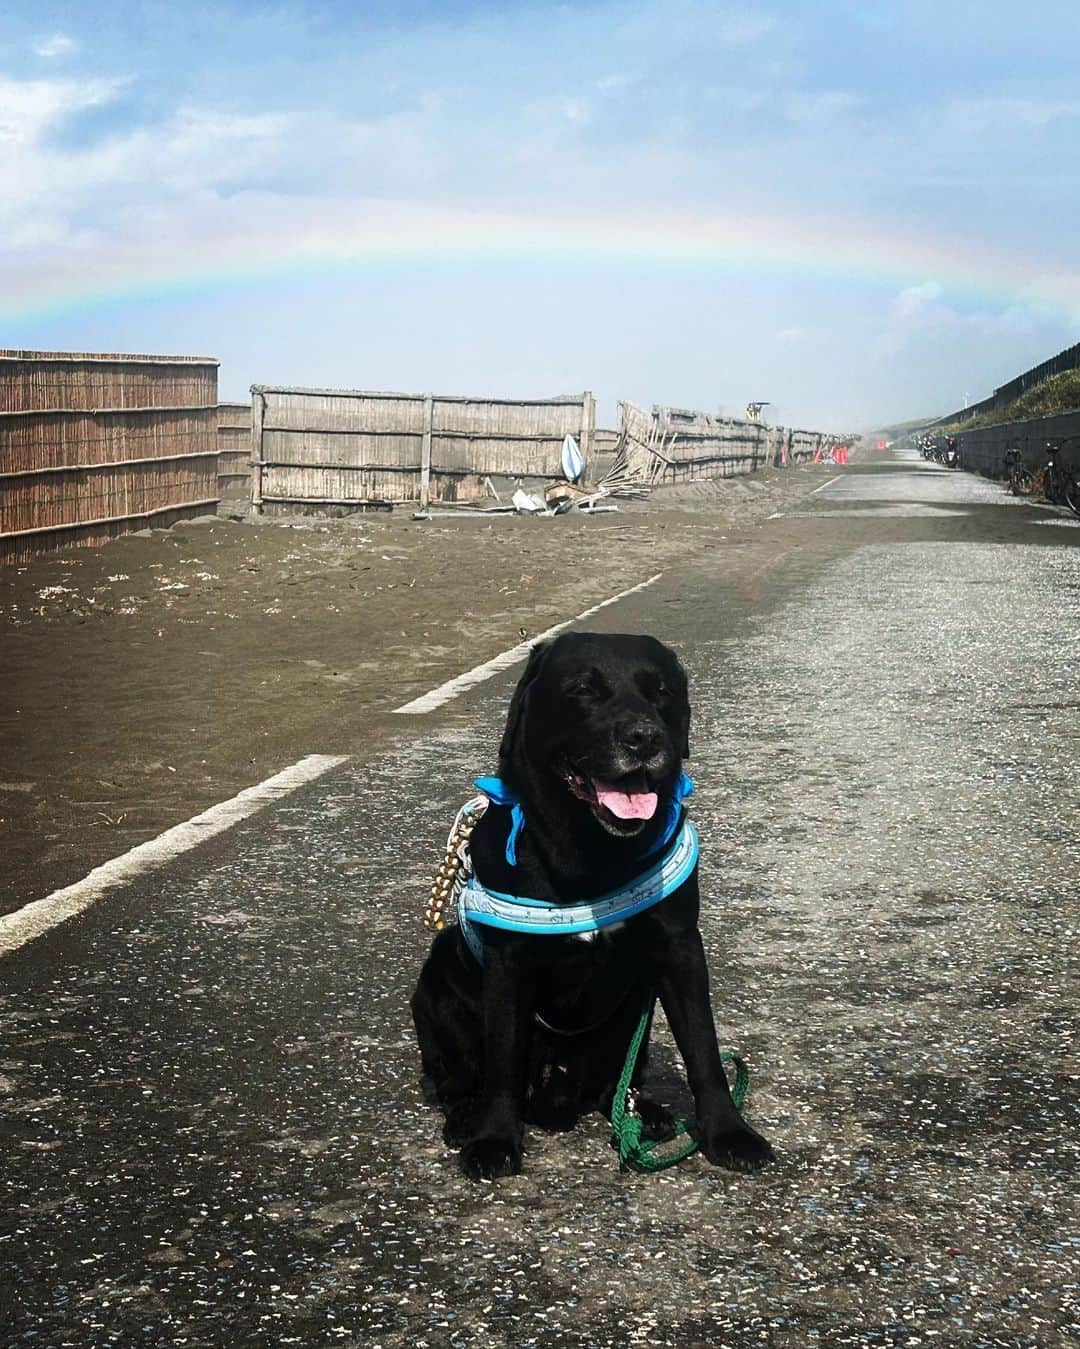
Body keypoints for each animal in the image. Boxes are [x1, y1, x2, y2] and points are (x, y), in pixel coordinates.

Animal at [409, 631, 771, 1181]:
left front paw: (729, 1133)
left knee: (613, 1085)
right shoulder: (507, 964)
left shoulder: (679, 948)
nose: (644, 738)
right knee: (455, 1080)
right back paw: (466, 1118)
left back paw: (644, 1112)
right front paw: (494, 1140)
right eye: (583, 690)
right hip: (439, 975)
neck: (592, 852)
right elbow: (503, 1062)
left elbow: (703, 1050)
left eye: (661, 691)